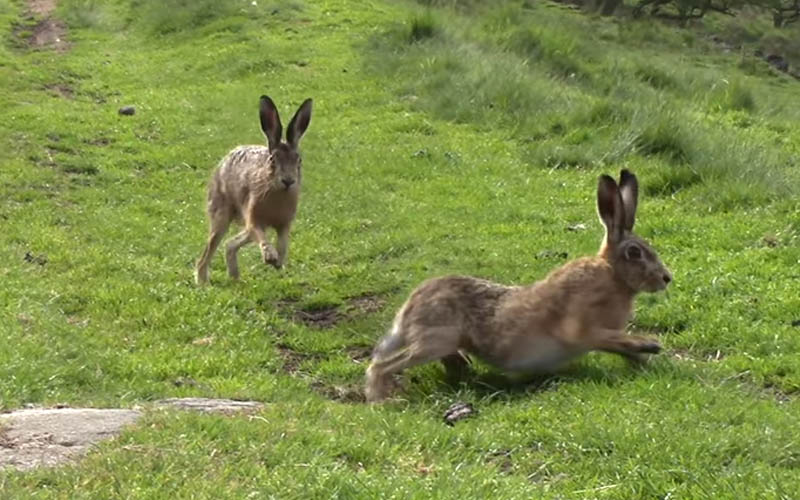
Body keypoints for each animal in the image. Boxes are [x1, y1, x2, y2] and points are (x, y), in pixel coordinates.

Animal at [195, 95, 312, 285]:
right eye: (272, 160)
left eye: (299, 160)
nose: (288, 181)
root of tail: (222, 163)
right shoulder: (254, 219)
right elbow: (261, 236)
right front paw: (270, 256)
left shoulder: (284, 224)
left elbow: (283, 243)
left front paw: (278, 261)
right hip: (221, 215)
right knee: (210, 250)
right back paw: (202, 282)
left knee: (230, 244)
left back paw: (234, 276)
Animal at [365, 169, 672, 402]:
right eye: (635, 252)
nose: (666, 278)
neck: (614, 276)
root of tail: (408, 307)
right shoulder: (581, 329)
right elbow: (607, 338)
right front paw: (649, 345)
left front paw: (647, 361)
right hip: (435, 340)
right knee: (381, 365)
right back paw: (379, 399)